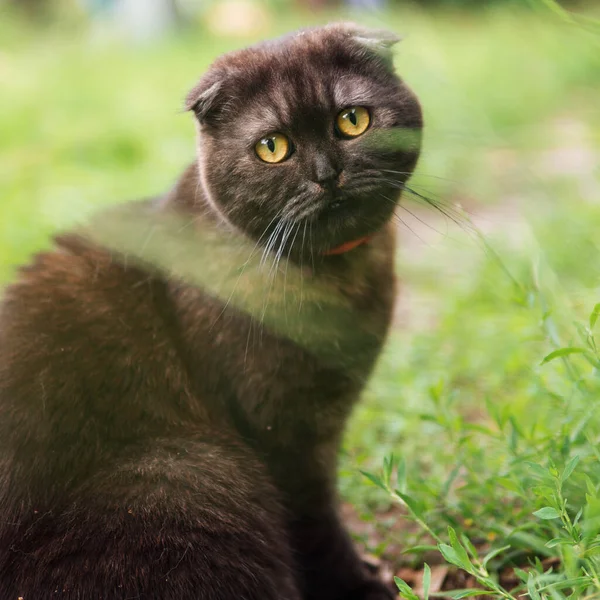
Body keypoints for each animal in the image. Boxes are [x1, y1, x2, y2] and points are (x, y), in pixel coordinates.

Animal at [0, 21, 422, 596]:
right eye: (272, 147)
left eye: (352, 120)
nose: (326, 174)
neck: (338, 280)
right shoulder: (284, 438)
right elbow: (316, 527)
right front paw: (361, 585)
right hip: (192, 473)